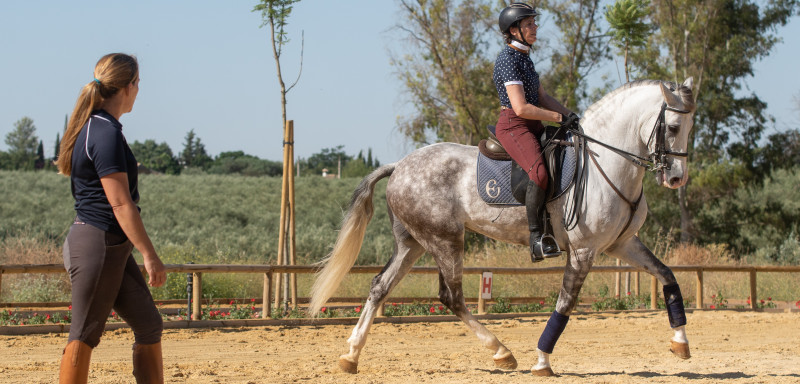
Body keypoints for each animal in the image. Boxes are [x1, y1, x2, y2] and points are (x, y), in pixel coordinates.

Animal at [310, 78, 696, 376]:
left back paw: (350, 355)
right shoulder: (583, 251)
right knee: (451, 297)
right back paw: (501, 352)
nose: (677, 178)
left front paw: (680, 342)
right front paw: (541, 361)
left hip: (413, 243)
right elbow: (565, 305)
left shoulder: (623, 243)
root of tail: (399, 165)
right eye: (673, 128)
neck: (607, 164)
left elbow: (667, 276)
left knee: (380, 287)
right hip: (445, 240)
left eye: (691, 128)